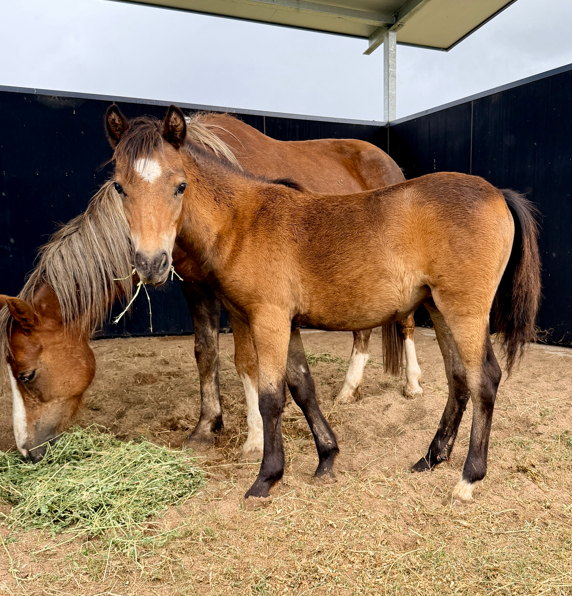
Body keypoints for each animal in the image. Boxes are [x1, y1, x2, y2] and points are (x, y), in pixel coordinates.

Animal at [105, 104, 541, 502]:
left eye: (180, 185)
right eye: (120, 187)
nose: (151, 264)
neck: (243, 221)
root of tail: (497, 193)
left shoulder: (268, 319)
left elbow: (271, 397)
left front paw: (266, 477)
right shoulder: (287, 322)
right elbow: (303, 388)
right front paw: (326, 457)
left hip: (465, 312)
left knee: (485, 378)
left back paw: (468, 478)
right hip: (439, 309)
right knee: (458, 379)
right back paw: (431, 457)